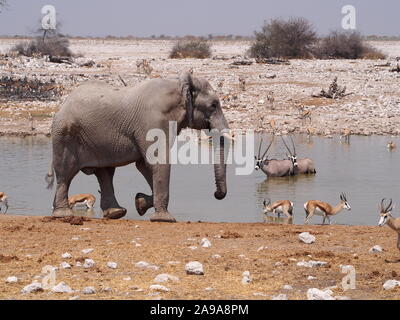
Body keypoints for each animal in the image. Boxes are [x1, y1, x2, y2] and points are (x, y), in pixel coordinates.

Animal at [45, 72, 230, 222]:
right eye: (213, 105)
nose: (217, 194)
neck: (178, 84)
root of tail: (63, 104)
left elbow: (144, 165)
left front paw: (140, 203)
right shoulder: (153, 121)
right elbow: (157, 161)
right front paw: (165, 219)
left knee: (105, 173)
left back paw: (116, 213)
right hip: (65, 134)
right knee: (66, 173)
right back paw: (63, 215)